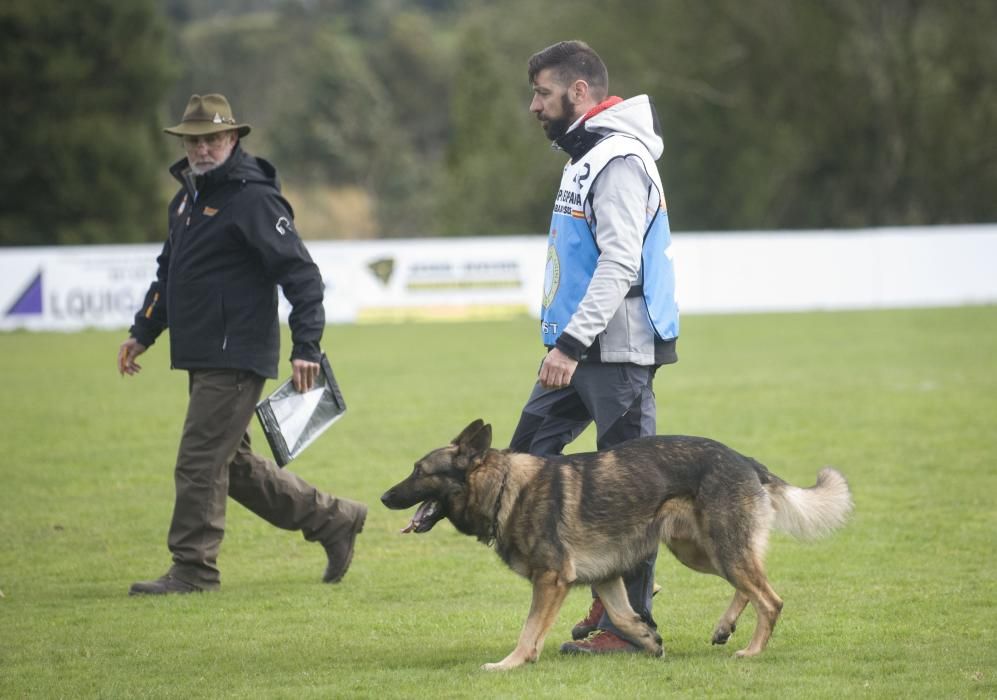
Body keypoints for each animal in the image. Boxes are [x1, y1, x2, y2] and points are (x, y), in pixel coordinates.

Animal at [380, 418, 848, 668]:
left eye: (419, 471)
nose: (383, 497)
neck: (504, 487)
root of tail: (745, 460)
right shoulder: (604, 576)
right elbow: (623, 617)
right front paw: (648, 640)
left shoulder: (550, 580)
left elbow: (529, 629)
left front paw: (511, 663)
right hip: (700, 551)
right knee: (753, 586)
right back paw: (724, 627)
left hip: (722, 549)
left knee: (771, 598)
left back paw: (751, 651)